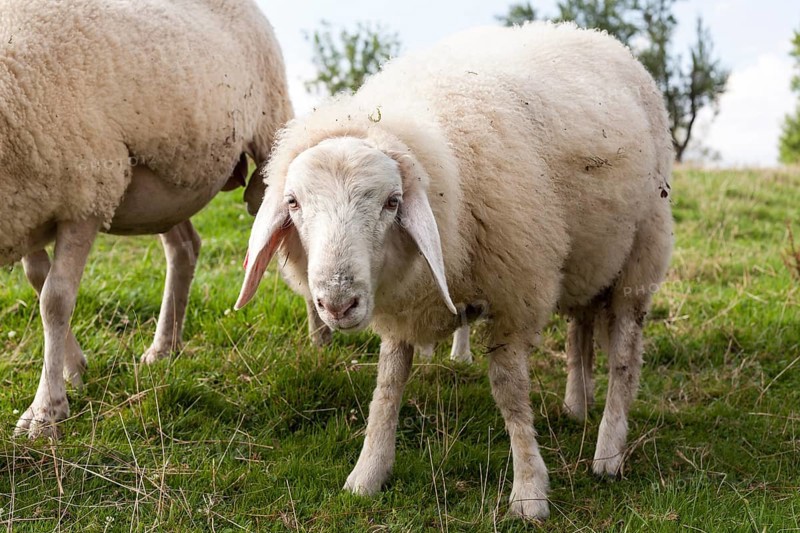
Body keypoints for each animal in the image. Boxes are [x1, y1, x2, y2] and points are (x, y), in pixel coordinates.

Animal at [0, 0, 294, 439]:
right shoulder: (30, 208)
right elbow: (38, 282)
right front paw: (74, 370)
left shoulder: (86, 195)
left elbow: (55, 300)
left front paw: (45, 411)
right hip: (169, 188)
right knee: (185, 247)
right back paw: (163, 347)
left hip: (271, 129)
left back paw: (321, 337)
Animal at [235, 22, 673, 520]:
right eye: (293, 202)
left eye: (392, 202)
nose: (338, 303)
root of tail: (598, 36)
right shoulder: (404, 305)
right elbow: (389, 384)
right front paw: (368, 473)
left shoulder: (515, 292)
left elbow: (510, 392)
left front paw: (529, 491)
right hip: (591, 260)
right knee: (579, 329)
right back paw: (577, 406)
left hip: (640, 255)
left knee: (624, 356)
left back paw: (608, 451)